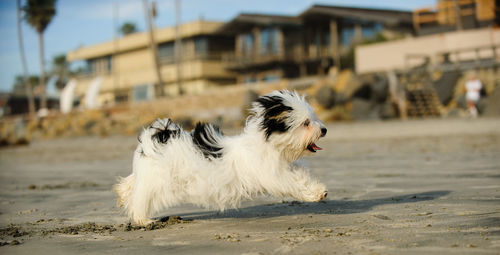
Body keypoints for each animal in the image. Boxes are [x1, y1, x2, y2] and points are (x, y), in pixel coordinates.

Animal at [115, 90, 330, 225]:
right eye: (306, 123)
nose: (324, 130)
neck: (268, 144)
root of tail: (157, 137)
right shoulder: (273, 175)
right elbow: (293, 182)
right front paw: (316, 193)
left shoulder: (282, 165)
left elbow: (299, 174)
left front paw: (318, 189)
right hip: (157, 180)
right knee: (141, 197)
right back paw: (143, 219)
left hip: (147, 173)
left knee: (131, 184)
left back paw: (123, 194)